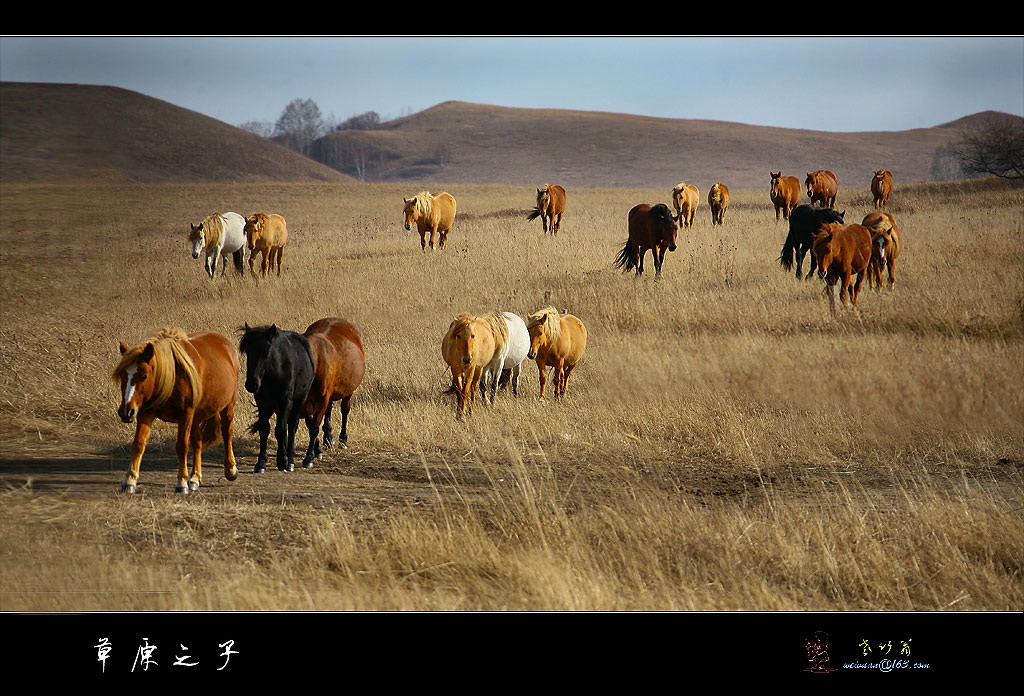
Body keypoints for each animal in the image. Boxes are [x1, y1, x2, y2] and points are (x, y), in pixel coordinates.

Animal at [112, 327, 239, 495]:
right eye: (122, 375)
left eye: (144, 376)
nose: (126, 411)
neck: (172, 377)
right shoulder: (146, 413)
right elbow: (139, 444)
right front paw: (130, 480)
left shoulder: (185, 414)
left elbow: (182, 446)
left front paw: (181, 482)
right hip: (196, 416)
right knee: (197, 442)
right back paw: (195, 478)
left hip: (227, 407)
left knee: (227, 433)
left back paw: (230, 469)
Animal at [237, 323, 313, 470]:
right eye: (248, 351)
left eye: (266, 353)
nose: (252, 384)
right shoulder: (262, 401)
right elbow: (264, 428)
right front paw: (261, 462)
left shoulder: (285, 400)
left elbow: (281, 430)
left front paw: (283, 460)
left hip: (300, 400)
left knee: (292, 426)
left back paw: (290, 460)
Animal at [299, 317, 368, 464]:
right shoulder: (309, 401)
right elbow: (310, 424)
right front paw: (316, 449)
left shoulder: (322, 399)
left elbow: (314, 426)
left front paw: (310, 456)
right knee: (329, 410)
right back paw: (328, 437)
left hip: (347, 391)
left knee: (344, 410)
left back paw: (343, 438)